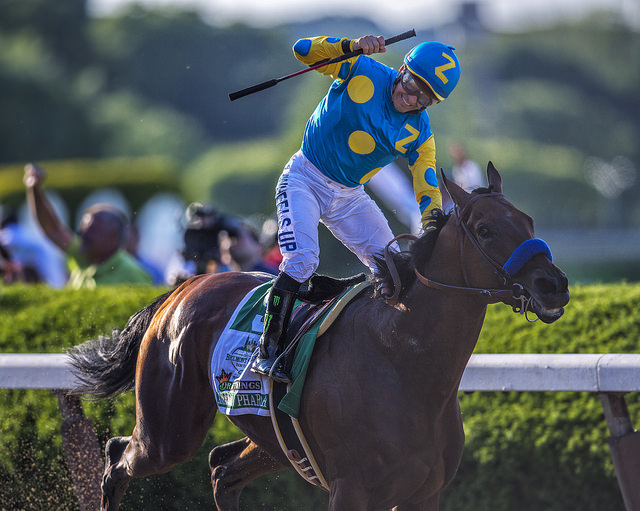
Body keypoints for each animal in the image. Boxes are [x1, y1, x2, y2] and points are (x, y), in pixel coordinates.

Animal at [69, 164, 568, 511]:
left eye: (528, 221)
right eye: (485, 229)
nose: (554, 285)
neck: (405, 364)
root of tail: (183, 288)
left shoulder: (423, 493)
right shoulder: (351, 491)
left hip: (275, 441)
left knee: (221, 469)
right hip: (167, 432)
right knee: (117, 459)